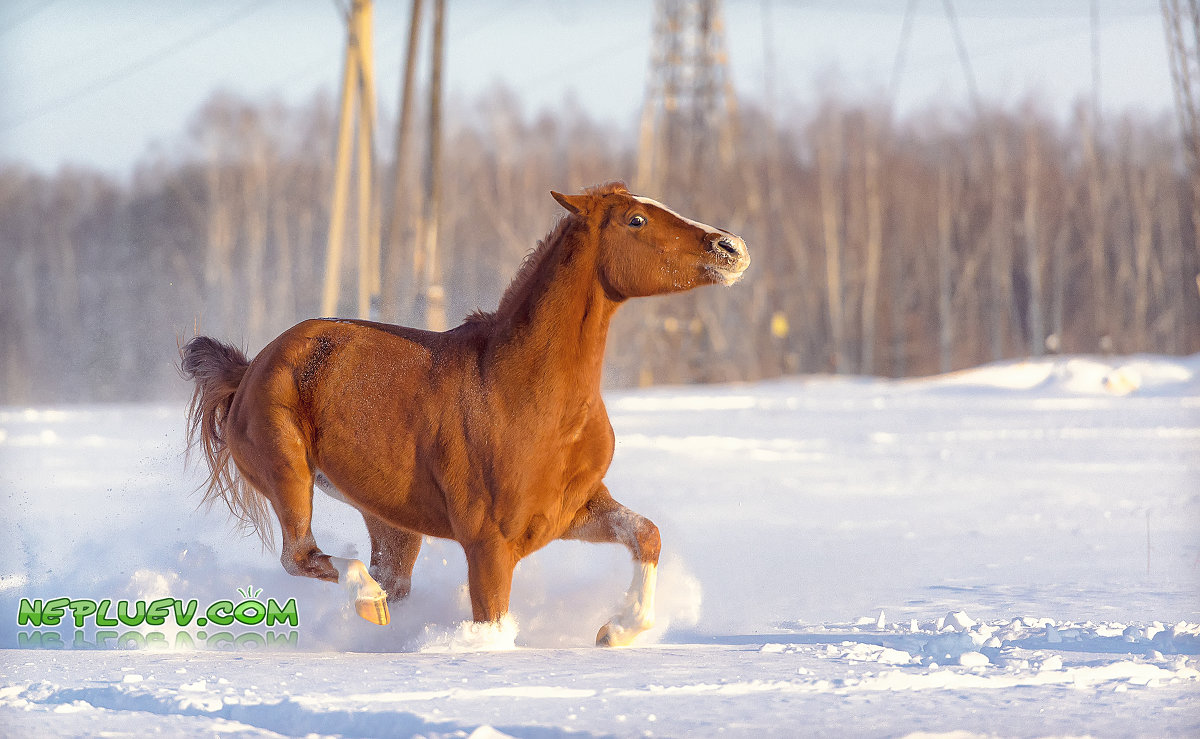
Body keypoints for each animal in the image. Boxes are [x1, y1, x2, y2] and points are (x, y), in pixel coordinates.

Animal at [180, 183, 748, 647]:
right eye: (636, 219)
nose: (732, 248)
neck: (525, 393)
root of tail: (252, 368)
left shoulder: (572, 510)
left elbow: (646, 533)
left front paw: (618, 629)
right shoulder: (489, 544)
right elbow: (493, 623)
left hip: (390, 521)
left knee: (385, 577)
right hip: (289, 473)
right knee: (299, 555)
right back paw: (367, 598)